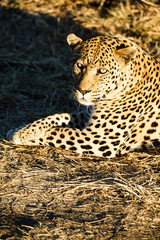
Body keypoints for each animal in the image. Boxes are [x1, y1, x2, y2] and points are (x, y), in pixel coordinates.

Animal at [7, 33, 160, 158]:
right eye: (80, 66)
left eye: (102, 71)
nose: (82, 90)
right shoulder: (87, 117)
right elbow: (57, 117)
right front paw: (22, 130)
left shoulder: (100, 138)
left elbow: (59, 133)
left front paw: (21, 136)